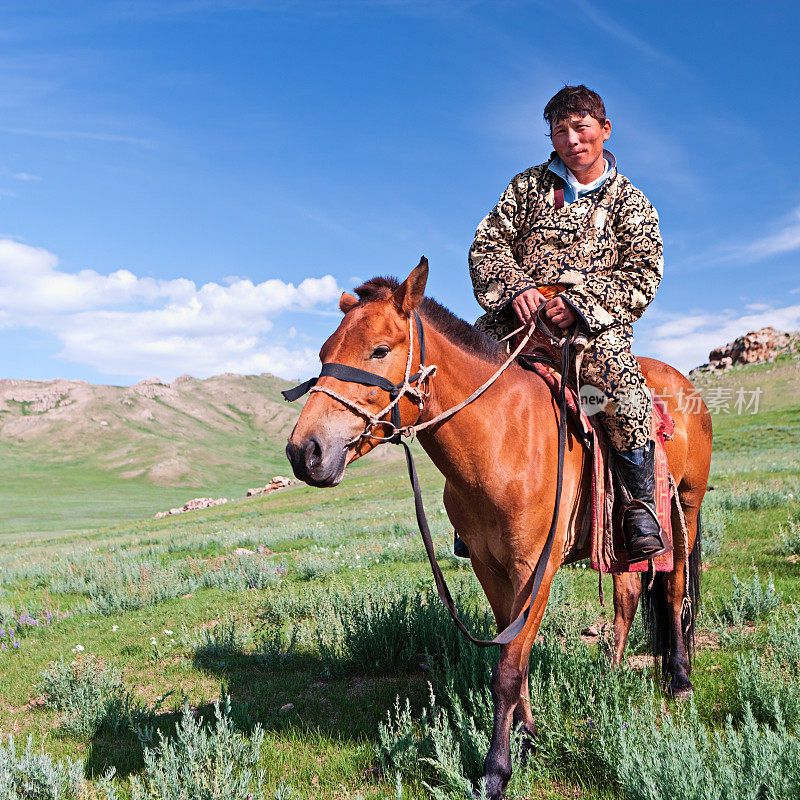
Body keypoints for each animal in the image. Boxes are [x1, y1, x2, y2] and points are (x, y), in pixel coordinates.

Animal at [288, 260, 712, 796]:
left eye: (380, 350)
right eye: (324, 354)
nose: (305, 452)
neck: (500, 437)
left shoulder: (535, 567)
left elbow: (508, 668)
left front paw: (496, 770)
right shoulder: (490, 567)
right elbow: (516, 657)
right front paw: (528, 739)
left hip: (687, 508)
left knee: (674, 589)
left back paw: (680, 682)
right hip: (619, 538)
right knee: (629, 591)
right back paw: (609, 674)